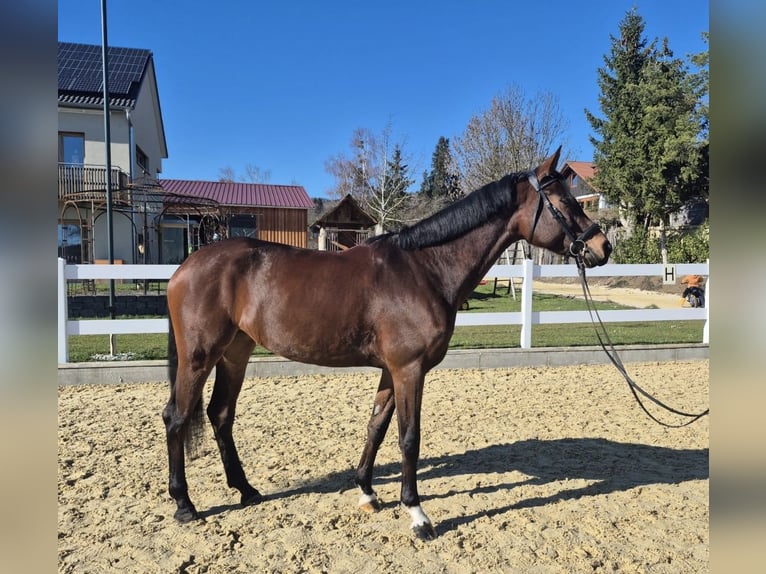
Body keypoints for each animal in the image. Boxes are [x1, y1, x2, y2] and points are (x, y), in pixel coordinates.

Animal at [162, 147, 612, 540]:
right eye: (565, 202)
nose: (602, 246)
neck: (424, 269)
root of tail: (186, 266)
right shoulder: (409, 369)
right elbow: (409, 438)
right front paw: (417, 514)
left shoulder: (389, 370)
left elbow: (376, 427)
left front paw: (366, 491)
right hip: (200, 357)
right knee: (176, 418)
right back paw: (184, 505)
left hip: (235, 353)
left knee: (220, 415)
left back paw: (246, 490)